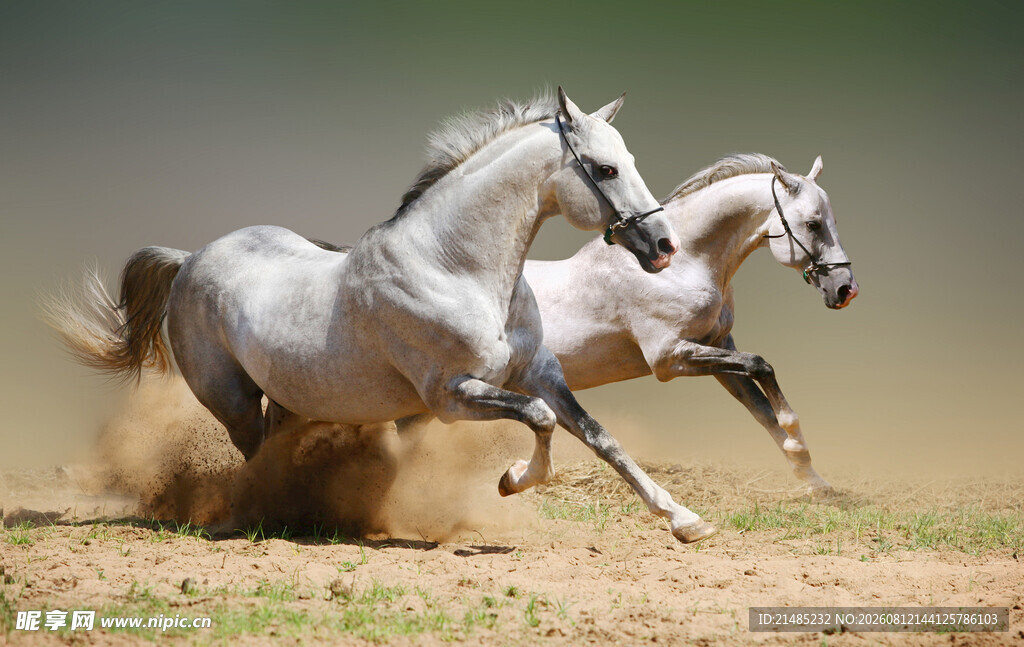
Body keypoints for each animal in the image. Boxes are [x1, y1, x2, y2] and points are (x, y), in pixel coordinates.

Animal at [46, 88, 720, 543]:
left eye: (627, 159)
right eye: (605, 168)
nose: (663, 246)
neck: (455, 268)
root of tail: (190, 259)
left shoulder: (539, 374)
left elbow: (600, 437)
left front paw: (685, 520)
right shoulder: (451, 396)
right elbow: (540, 420)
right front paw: (511, 479)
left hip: (289, 397)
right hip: (231, 399)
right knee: (254, 455)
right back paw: (262, 515)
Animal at [524, 154, 858, 497]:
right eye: (813, 224)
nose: (846, 289)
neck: (682, 266)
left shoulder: (718, 347)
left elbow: (762, 409)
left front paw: (814, 480)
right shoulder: (669, 358)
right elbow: (760, 365)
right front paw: (796, 439)